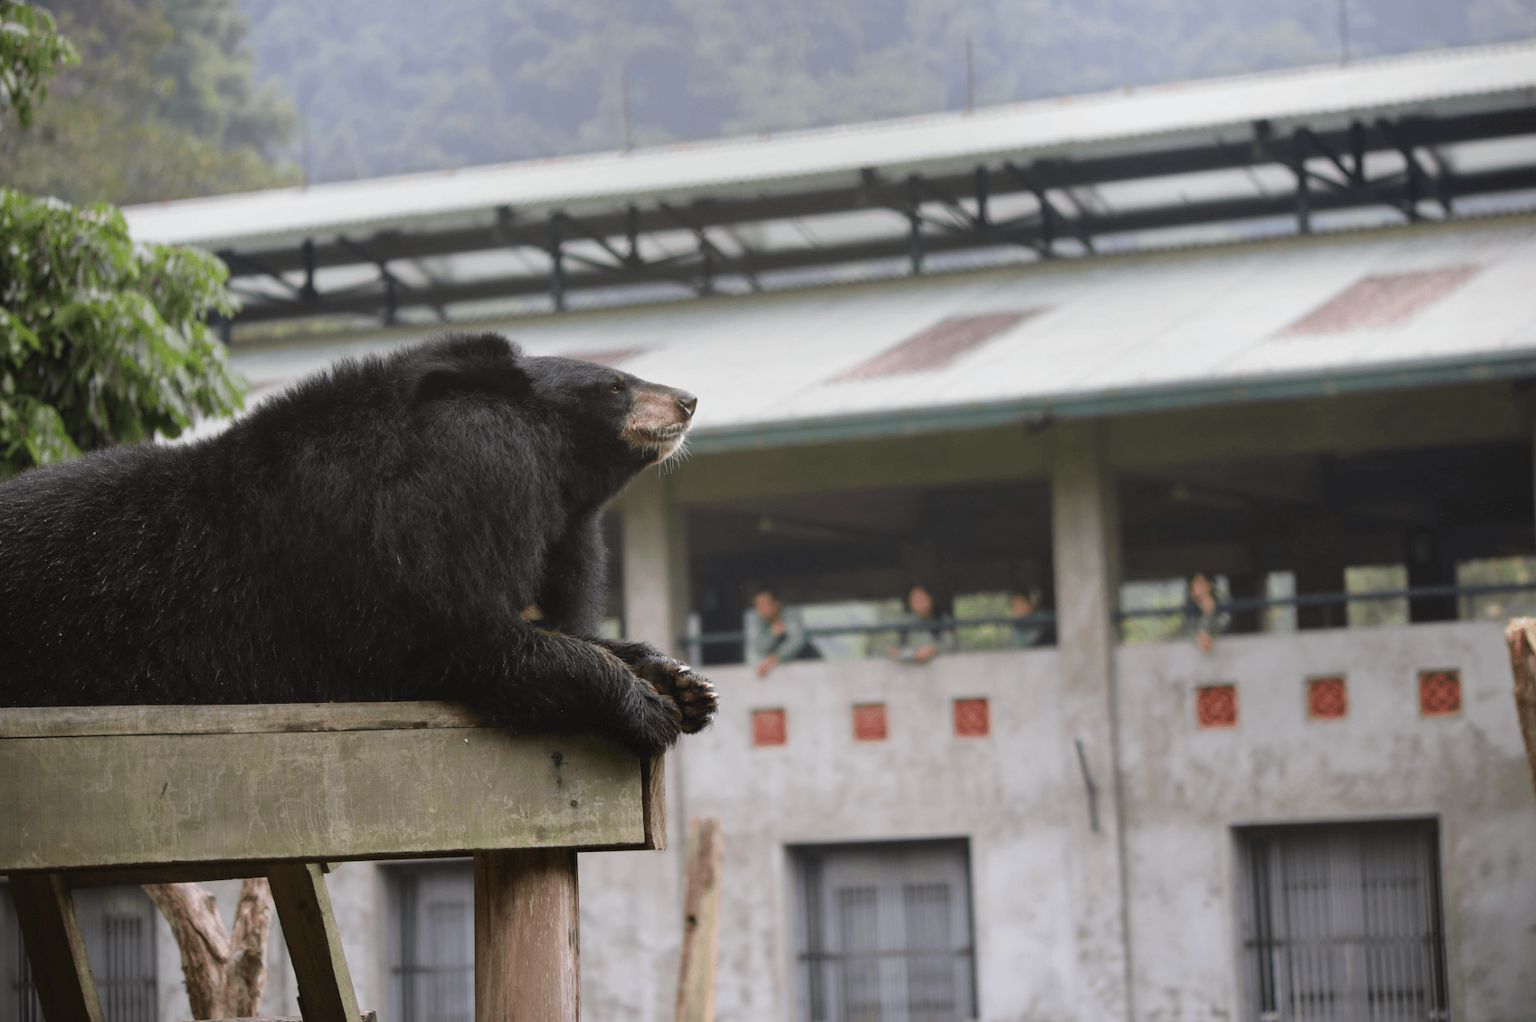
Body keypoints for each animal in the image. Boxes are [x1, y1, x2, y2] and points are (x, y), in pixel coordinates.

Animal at [0, 330, 718, 753]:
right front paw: (646, 705)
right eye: (615, 386)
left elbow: (551, 622)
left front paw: (683, 682)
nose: (688, 400)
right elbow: (474, 638)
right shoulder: (389, 557)